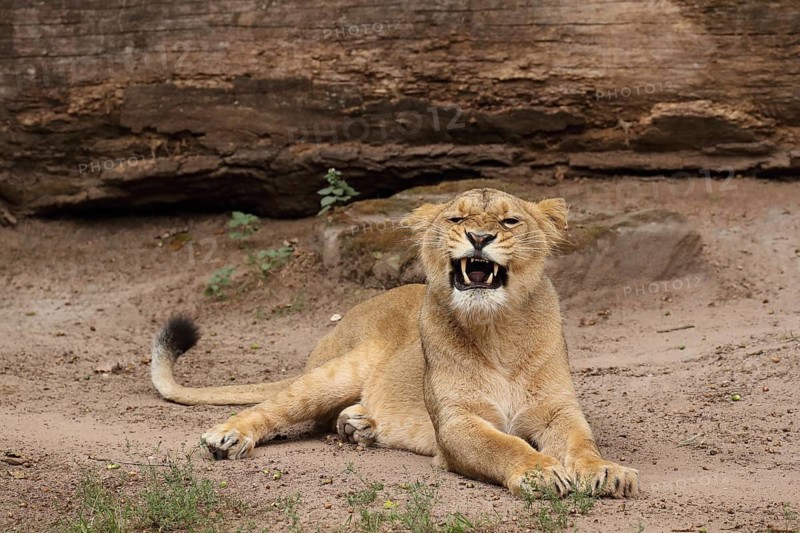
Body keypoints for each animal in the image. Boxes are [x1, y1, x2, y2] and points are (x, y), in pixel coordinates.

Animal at [151, 188, 639, 498]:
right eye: (457, 219)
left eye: (509, 220)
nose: (480, 238)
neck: (498, 328)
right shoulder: (456, 423)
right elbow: (504, 445)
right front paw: (541, 473)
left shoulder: (559, 411)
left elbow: (582, 443)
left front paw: (606, 472)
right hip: (336, 371)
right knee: (275, 407)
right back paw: (229, 436)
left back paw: (359, 425)